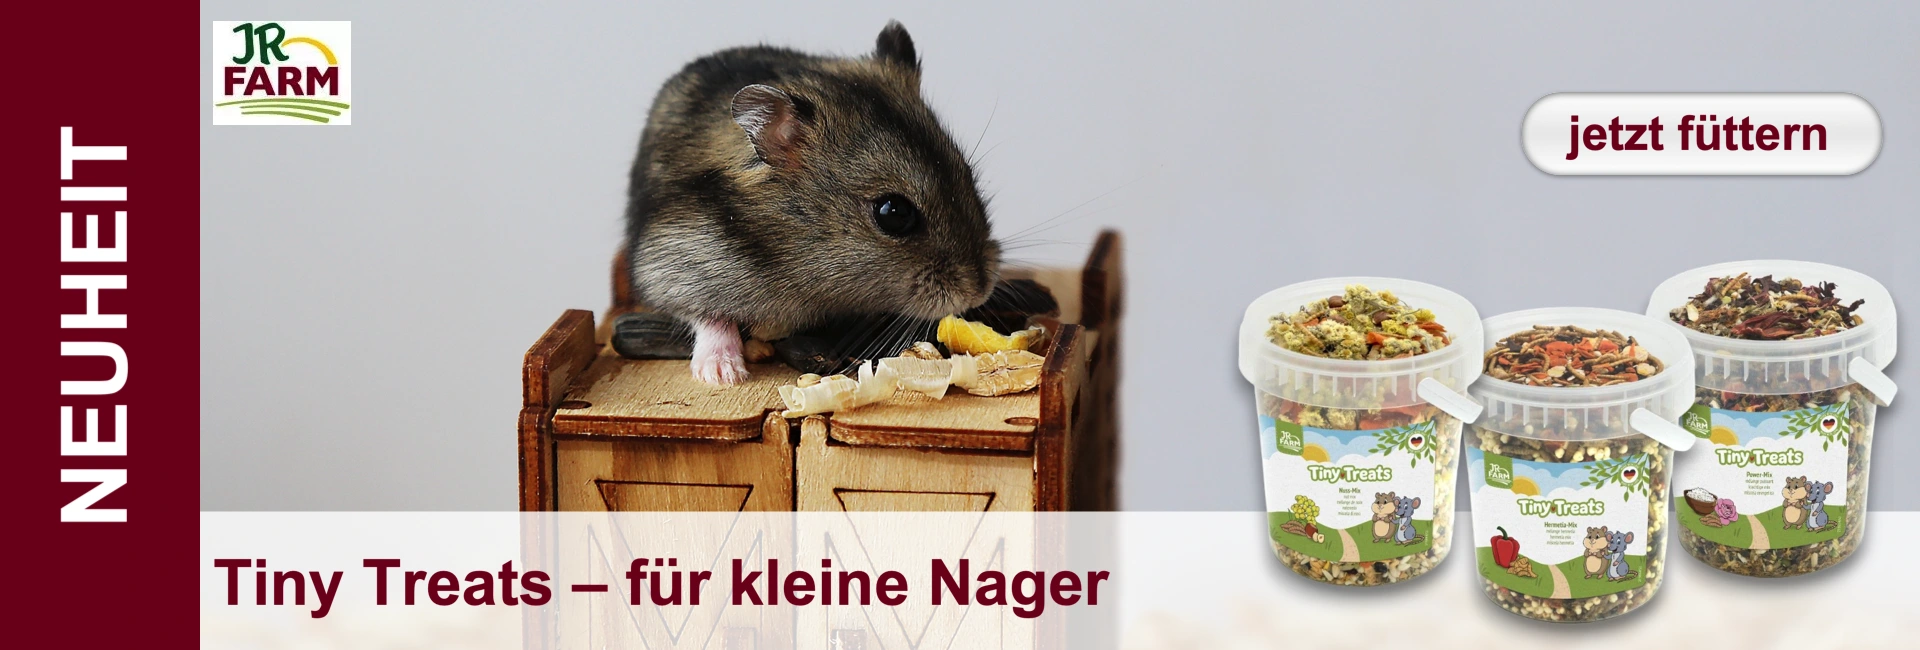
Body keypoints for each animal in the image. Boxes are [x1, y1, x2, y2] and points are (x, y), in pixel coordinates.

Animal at [623, 22, 1000, 384]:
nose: (979, 292)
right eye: (893, 213)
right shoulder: (672, 259)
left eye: (966, 173)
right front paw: (724, 376)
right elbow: (708, 316)